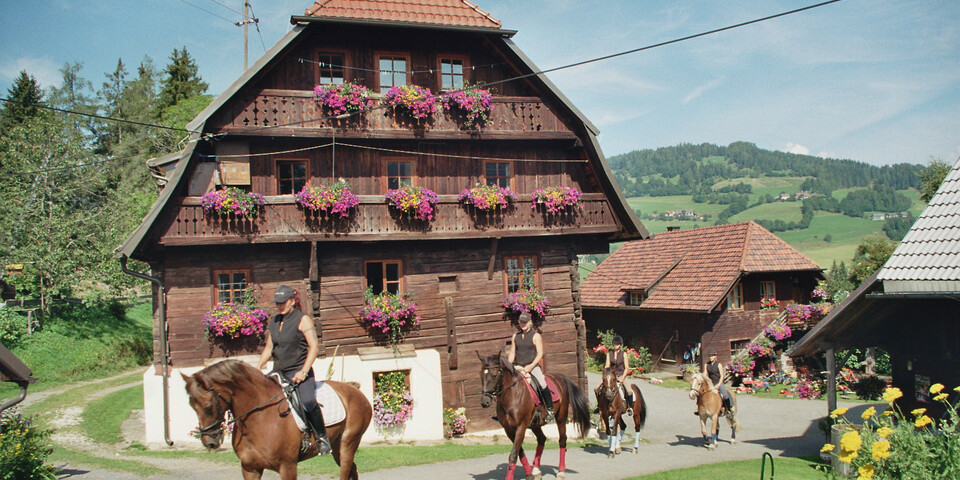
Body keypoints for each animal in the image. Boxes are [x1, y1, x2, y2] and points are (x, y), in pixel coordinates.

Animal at [183, 360, 372, 480]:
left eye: (208, 406)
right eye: (191, 406)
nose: (210, 442)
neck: (258, 417)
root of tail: (353, 389)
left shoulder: (287, 467)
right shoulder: (250, 469)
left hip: (348, 443)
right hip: (337, 447)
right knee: (352, 470)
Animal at [476, 352, 588, 480]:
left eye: (494, 375)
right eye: (480, 374)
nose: (484, 402)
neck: (512, 395)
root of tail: (561, 378)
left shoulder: (521, 427)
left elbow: (513, 455)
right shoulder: (508, 430)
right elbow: (519, 452)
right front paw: (529, 474)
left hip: (561, 417)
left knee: (562, 440)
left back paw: (560, 472)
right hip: (535, 424)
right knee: (542, 439)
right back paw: (536, 471)